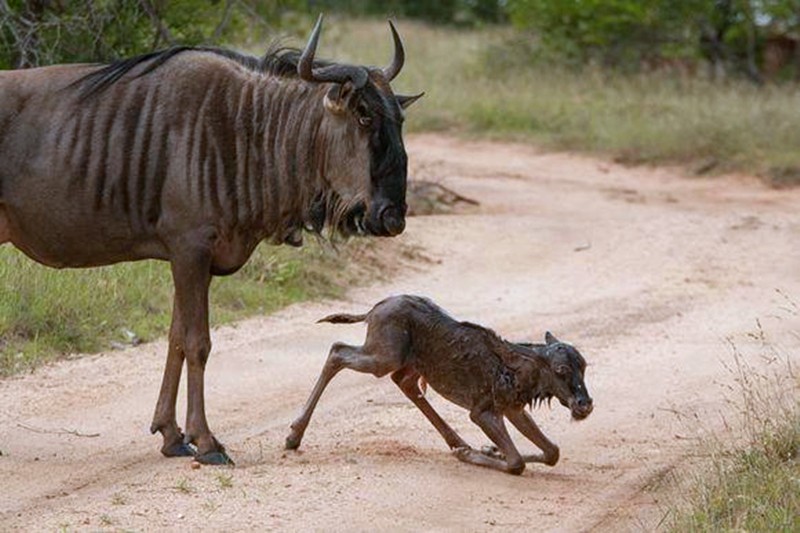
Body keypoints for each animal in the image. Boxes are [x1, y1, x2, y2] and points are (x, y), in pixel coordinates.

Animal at [284, 296, 592, 474]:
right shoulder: (481, 411)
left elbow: (552, 452)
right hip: (384, 356)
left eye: (585, 366)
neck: (523, 377)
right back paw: (293, 436)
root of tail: (373, 309)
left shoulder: (512, 408)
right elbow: (516, 463)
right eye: (561, 370)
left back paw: (457, 441)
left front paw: (486, 449)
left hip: (407, 362)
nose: (585, 405)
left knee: (404, 382)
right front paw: (473, 453)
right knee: (337, 351)